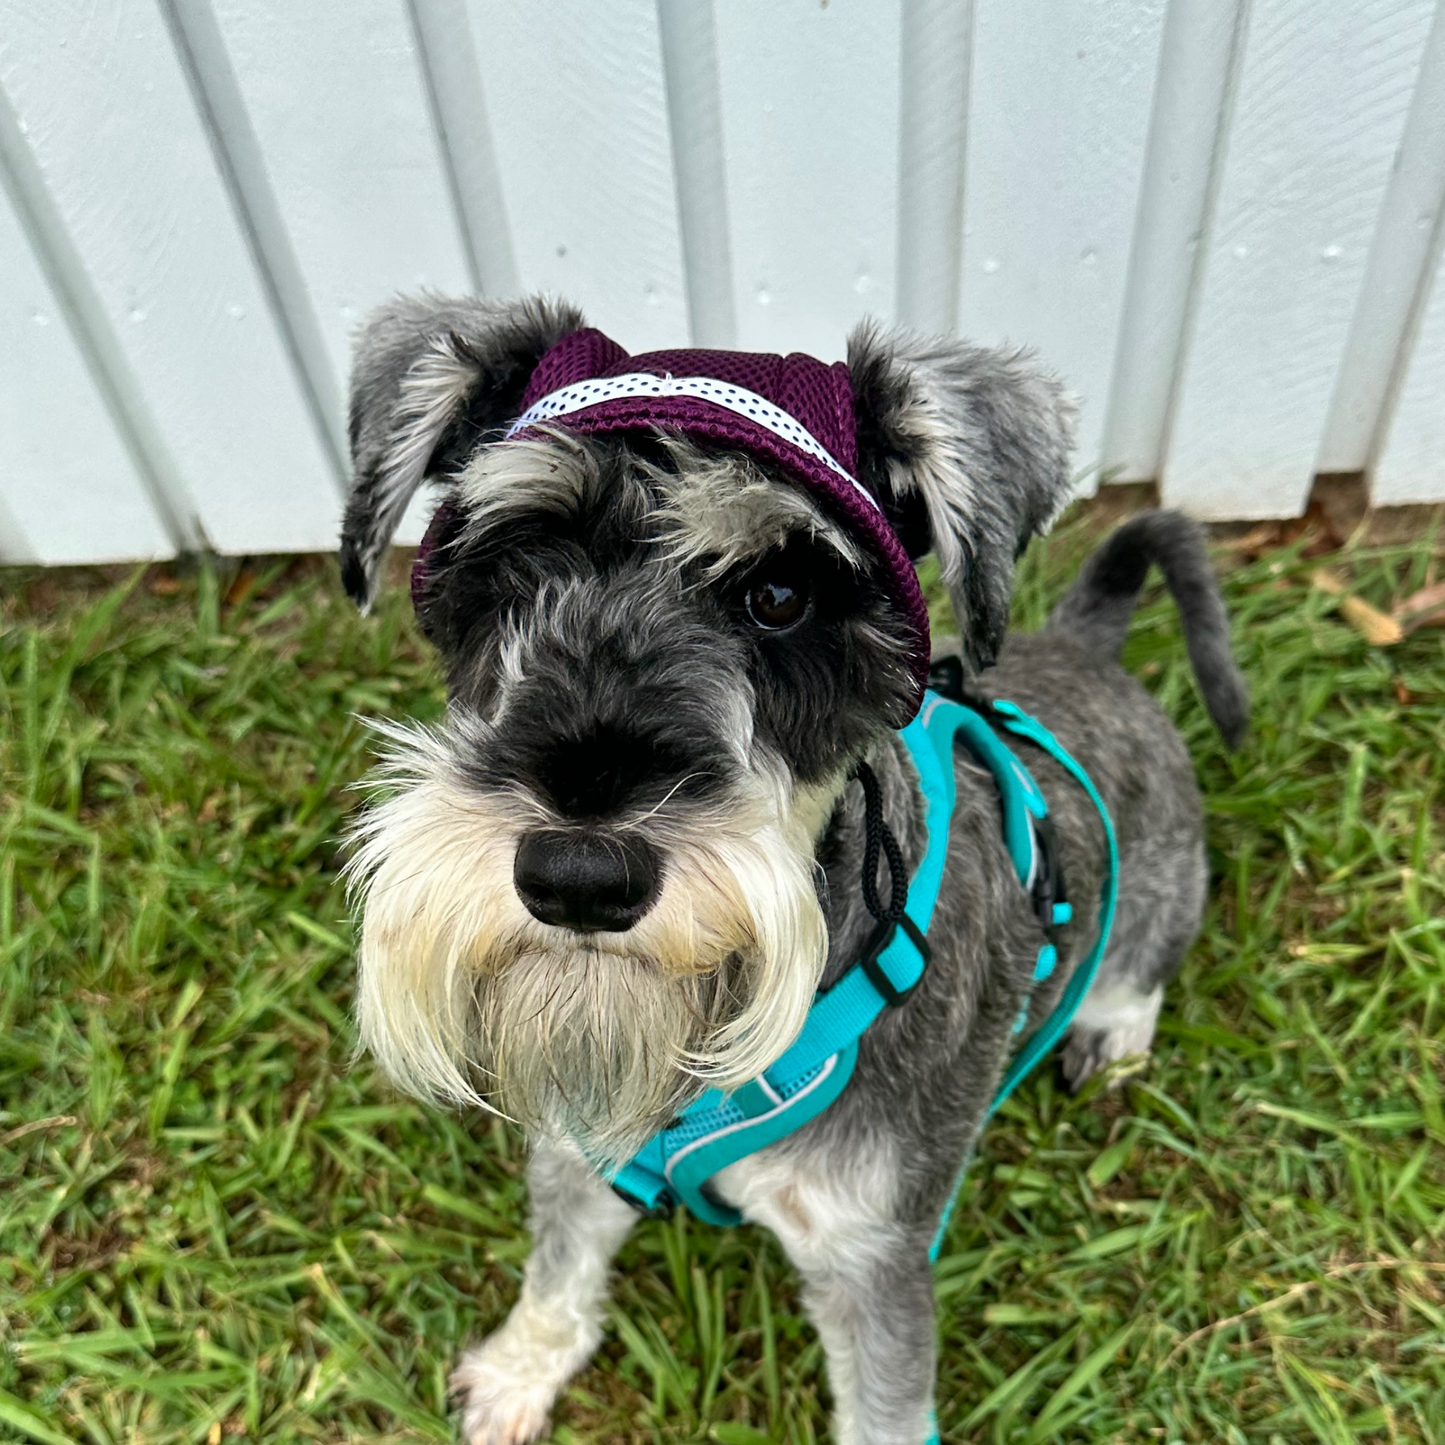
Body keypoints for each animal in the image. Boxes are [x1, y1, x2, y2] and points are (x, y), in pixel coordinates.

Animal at [335, 293, 1242, 1445]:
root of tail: (1092, 649)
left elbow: (884, 1409)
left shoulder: (872, 1257)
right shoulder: (580, 1149)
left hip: (1160, 895)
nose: (578, 874)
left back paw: (1111, 1036)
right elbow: (556, 1272)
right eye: (516, 566)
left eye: (778, 594)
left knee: (1137, 971)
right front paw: (517, 1370)